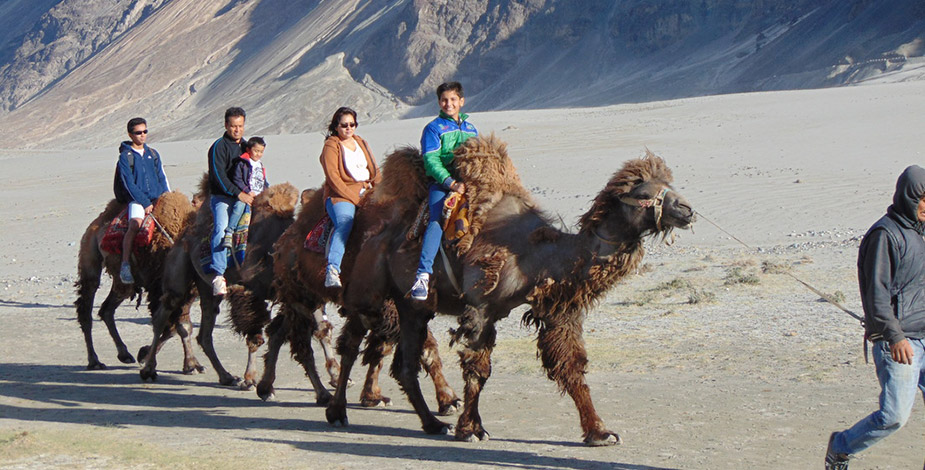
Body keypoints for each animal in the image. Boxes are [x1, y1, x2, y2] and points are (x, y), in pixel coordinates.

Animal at [74, 191, 198, 371]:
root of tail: (95, 225)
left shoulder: (187, 292)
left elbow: (181, 327)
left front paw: (190, 364)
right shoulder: (160, 289)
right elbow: (167, 324)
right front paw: (147, 356)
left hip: (124, 284)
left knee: (106, 309)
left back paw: (124, 354)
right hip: (90, 261)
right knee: (86, 308)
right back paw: (94, 361)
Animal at [139, 176, 305, 386]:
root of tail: (186, 233)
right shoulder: (247, 289)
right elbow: (254, 333)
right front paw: (250, 379)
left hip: (207, 289)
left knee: (204, 333)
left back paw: (225, 376)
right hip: (180, 274)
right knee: (163, 314)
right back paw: (148, 368)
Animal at [237, 187, 461, 410]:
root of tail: (282, 243)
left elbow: (383, 348)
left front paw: (373, 395)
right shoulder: (392, 308)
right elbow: (418, 347)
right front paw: (448, 399)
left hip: (301, 298)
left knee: (280, 332)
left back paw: (267, 387)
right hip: (302, 298)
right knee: (304, 343)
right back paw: (320, 394)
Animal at [328, 136, 695, 446]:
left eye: (671, 185)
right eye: (645, 193)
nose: (687, 210)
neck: (539, 254)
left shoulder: (558, 308)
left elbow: (572, 367)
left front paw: (600, 432)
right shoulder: (481, 306)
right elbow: (478, 369)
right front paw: (471, 429)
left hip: (413, 307)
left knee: (405, 362)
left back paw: (432, 424)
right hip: (368, 291)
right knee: (351, 344)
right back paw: (337, 411)